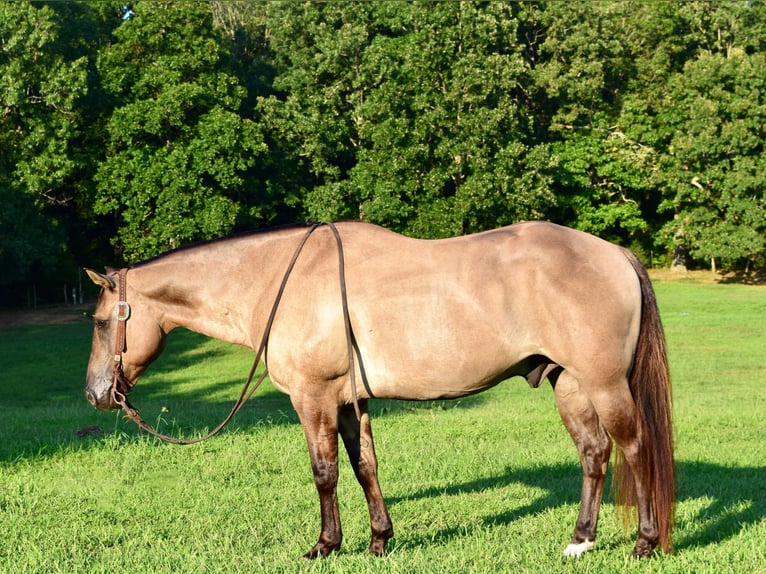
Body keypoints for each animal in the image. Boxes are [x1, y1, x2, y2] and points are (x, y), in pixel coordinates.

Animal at [81, 220, 676, 560]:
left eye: (102, 322)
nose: (95, 393)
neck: (278, 281)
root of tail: (615, 254)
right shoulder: (350, 402)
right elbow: (364, 466)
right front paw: (378, 540)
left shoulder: (313, 398)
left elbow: (324, 472)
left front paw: (326, 545)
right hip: (569, 384)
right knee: (594, 454)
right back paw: (581, 540)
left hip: (603, 385)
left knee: (635, 448)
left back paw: (645, 543)